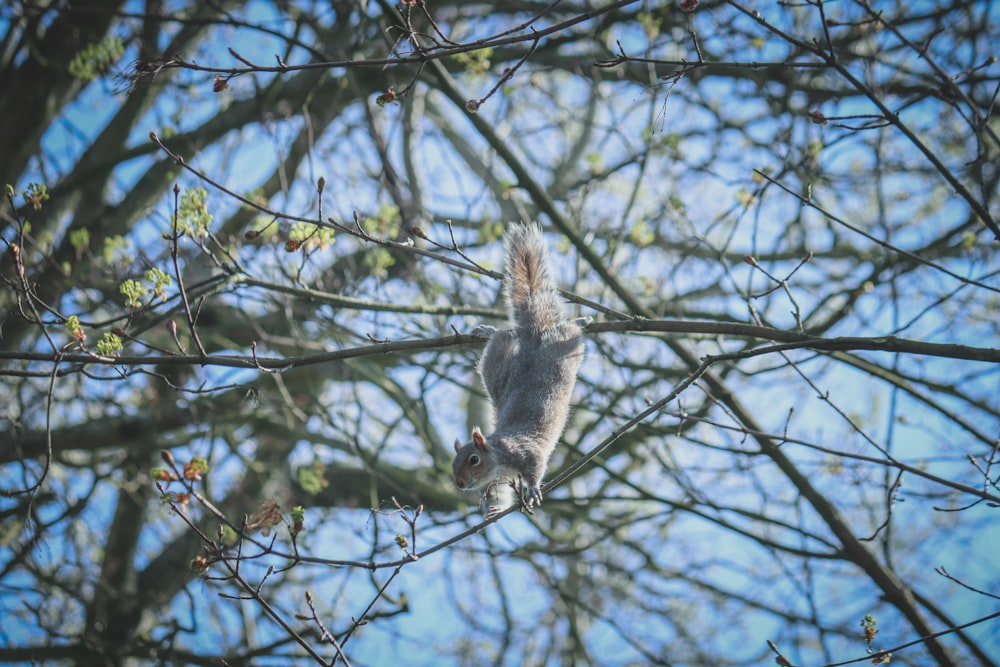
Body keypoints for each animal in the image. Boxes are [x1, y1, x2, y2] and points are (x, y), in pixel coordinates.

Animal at [454, 222, 584, 520]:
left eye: (473, 459)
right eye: (454, 462)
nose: (460, 483)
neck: (499, 458)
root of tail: (535, 336)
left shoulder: (527, 453)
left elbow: (535, 470)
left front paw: (532, 490)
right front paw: (488, 503)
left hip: (564, 348)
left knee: (568, 329)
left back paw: (584, 320)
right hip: (498, 365)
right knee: (503, 336)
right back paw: (488, 331)